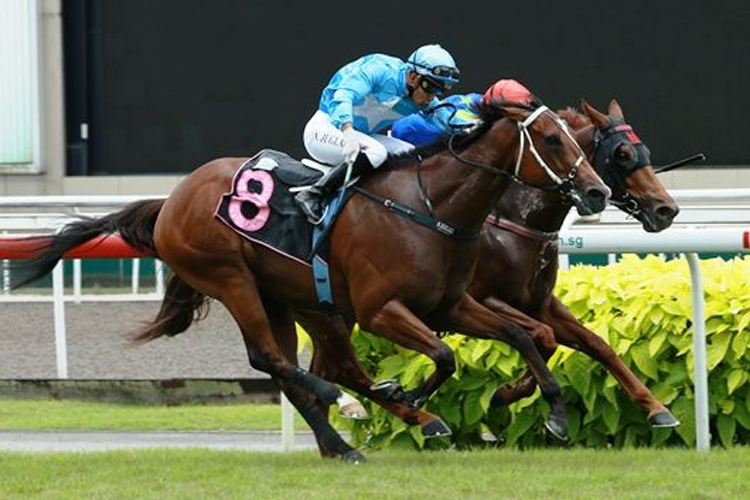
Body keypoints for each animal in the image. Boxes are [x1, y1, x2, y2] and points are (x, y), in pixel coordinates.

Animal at [10, 100, 612, 460]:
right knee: (275, 361)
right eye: (552, 141)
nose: (599, 191)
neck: (429, 206)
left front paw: (553, 415)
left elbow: (520, 337)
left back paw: (345, 439)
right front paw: (413, 396)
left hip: (289, 297)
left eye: (577, 140)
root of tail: (171, 200)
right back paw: (348, 408)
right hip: (231, 279)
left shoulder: (451, 304)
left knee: (309, 365)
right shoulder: (381, 310)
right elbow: (444, 356)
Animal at [304, 97, 680, 450]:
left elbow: (596, 344)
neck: (512, 219)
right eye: (621, 154)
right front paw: (512, 394)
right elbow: (541, 336)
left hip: (333, 312)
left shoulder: (539, 303)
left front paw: (656, 408)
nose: (666, 209)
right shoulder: (483, 298)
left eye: (645, 150)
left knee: (328, 369)